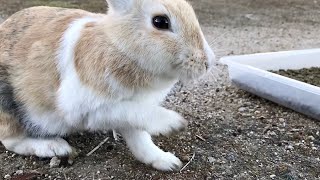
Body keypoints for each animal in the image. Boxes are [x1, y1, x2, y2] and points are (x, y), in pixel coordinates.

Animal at [0, 0, 215, 171]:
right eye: (160, 22)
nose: (208, 63)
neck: (119, 48)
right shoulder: (90, 109)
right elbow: (131, 112)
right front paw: (173, 123)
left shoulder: (132, 115)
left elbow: (140, 139)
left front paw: (167, 162)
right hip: (9, 108)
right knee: (11, 141)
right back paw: (56, 147)